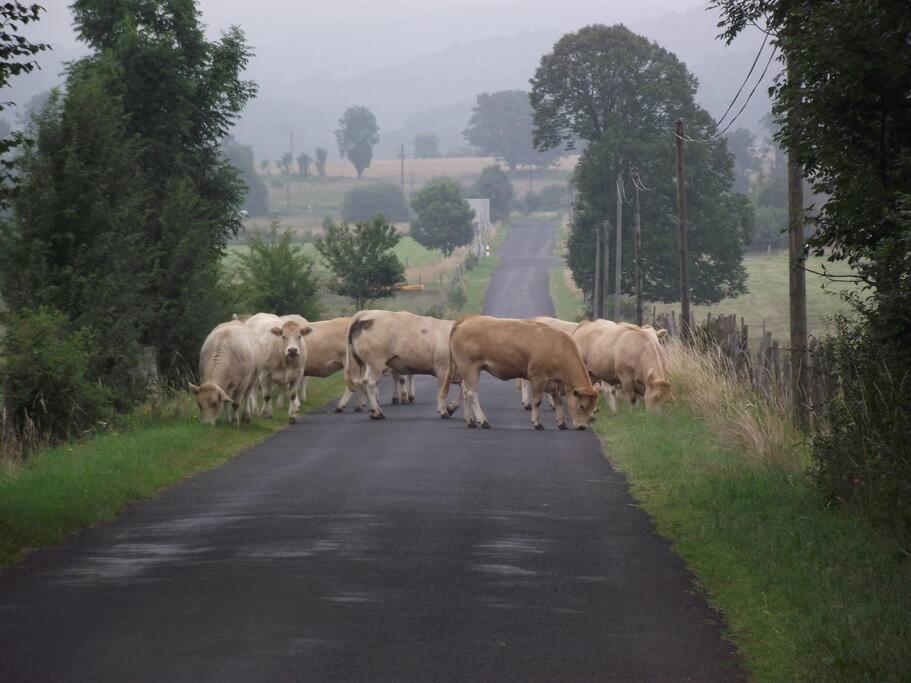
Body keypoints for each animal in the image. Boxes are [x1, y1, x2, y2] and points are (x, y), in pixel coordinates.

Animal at [446, 316, 604, 432]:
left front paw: (561, 423)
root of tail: (468, 319)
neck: (558, 348)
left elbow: (558, 401)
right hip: (470, 368)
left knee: (465, 390)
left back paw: (470, 420)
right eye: (582, 406)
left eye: (593, 407)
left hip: (467, 371)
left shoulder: (553, 383)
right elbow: (537, 401)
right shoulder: (538, 378)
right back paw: (483, 421)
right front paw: (537, 423)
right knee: (471, 393)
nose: (582, 427)